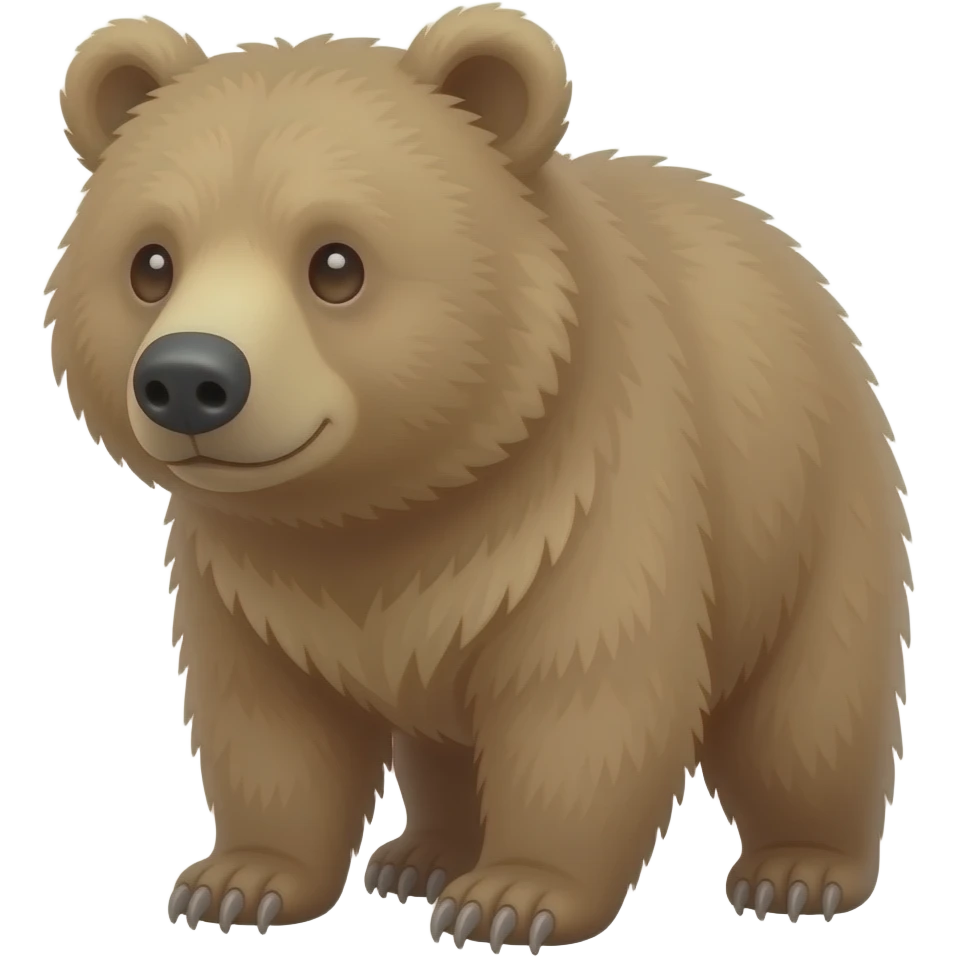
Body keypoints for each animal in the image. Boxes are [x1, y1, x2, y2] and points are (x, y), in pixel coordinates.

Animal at [46, 4, 912, 949]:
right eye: (150, 262)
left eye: (336, 264)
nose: (187, 377)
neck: (387, 506)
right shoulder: (248, 574)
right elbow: (270, 721)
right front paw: (239, 880)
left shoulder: (589, 497)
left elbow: (584, 697)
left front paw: (514, 895)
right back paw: (423, 855)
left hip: (815, 501)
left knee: (809, 707)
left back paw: (799, 868)